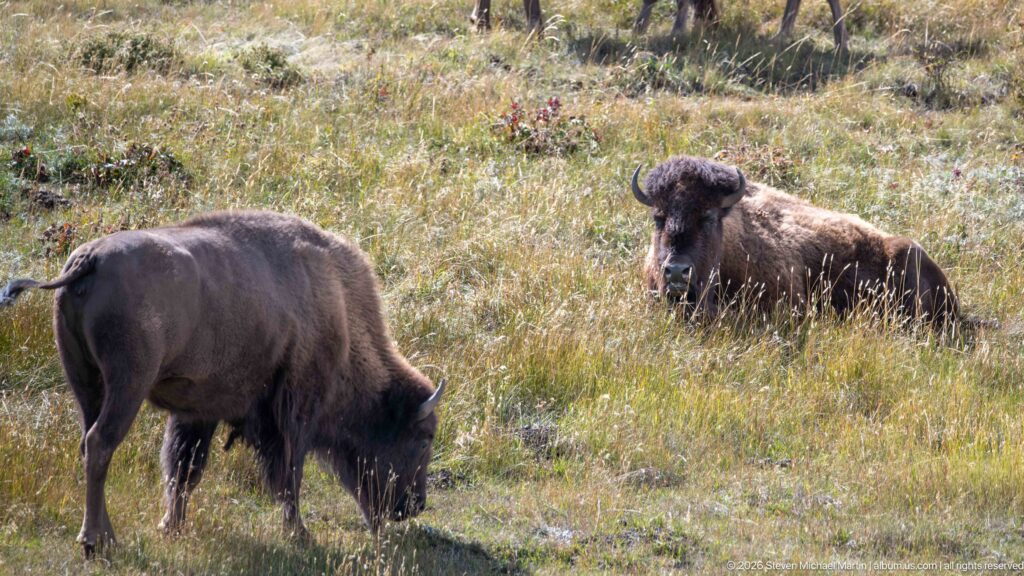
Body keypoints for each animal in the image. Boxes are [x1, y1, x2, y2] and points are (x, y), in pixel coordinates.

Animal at [1, 211, 446, 556]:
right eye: (423, 437)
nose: (415, 505)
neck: (337, 304)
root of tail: (89, 259)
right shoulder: (293, 413)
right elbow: (289, 475)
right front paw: (300, 536)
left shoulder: (198, 413)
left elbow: (184, 469)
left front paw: (172, 527)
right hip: (127, 385)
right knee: (100, 443)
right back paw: (97, 541)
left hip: (85, 383)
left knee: (88, 444)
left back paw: (104, 536)